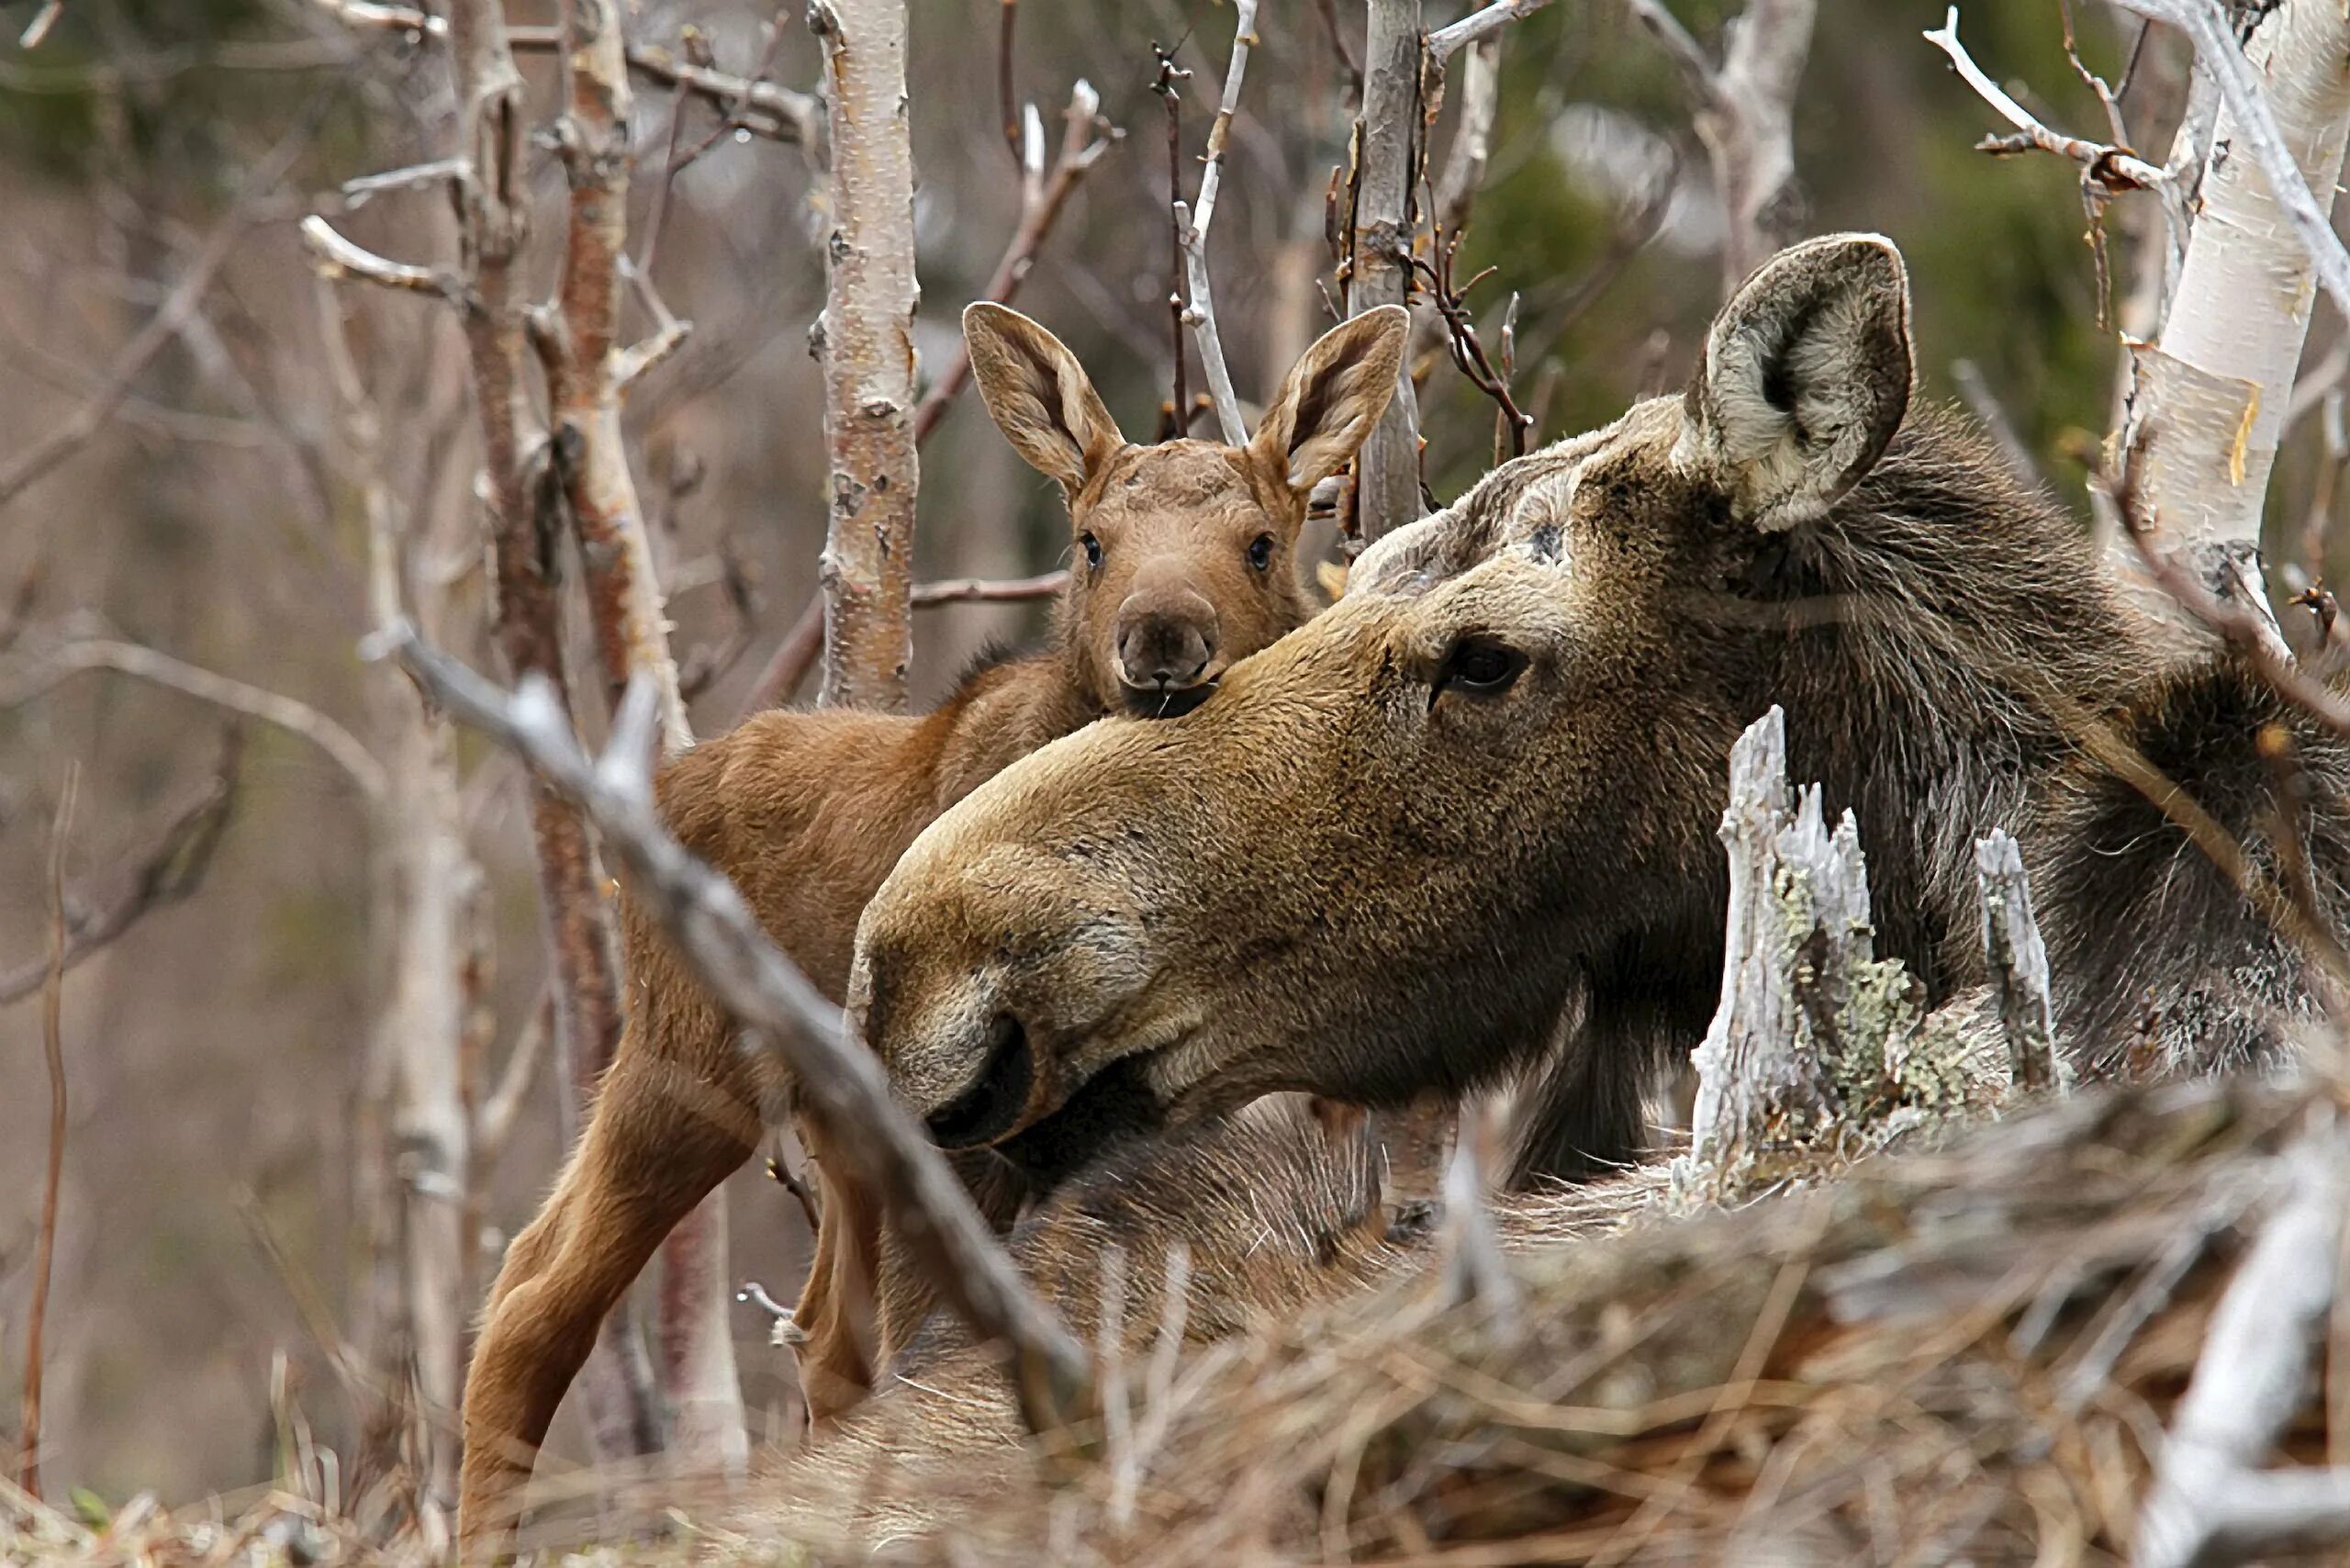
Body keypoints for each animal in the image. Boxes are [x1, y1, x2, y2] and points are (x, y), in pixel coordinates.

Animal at [460, 300, 1410, 1551]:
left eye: (1261, 541)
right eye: (1091, 541)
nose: (1162, 638)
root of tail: (643, 803)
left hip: (828, 1126)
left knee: (813, 1335)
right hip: (691, 1065)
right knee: (534, 1297)